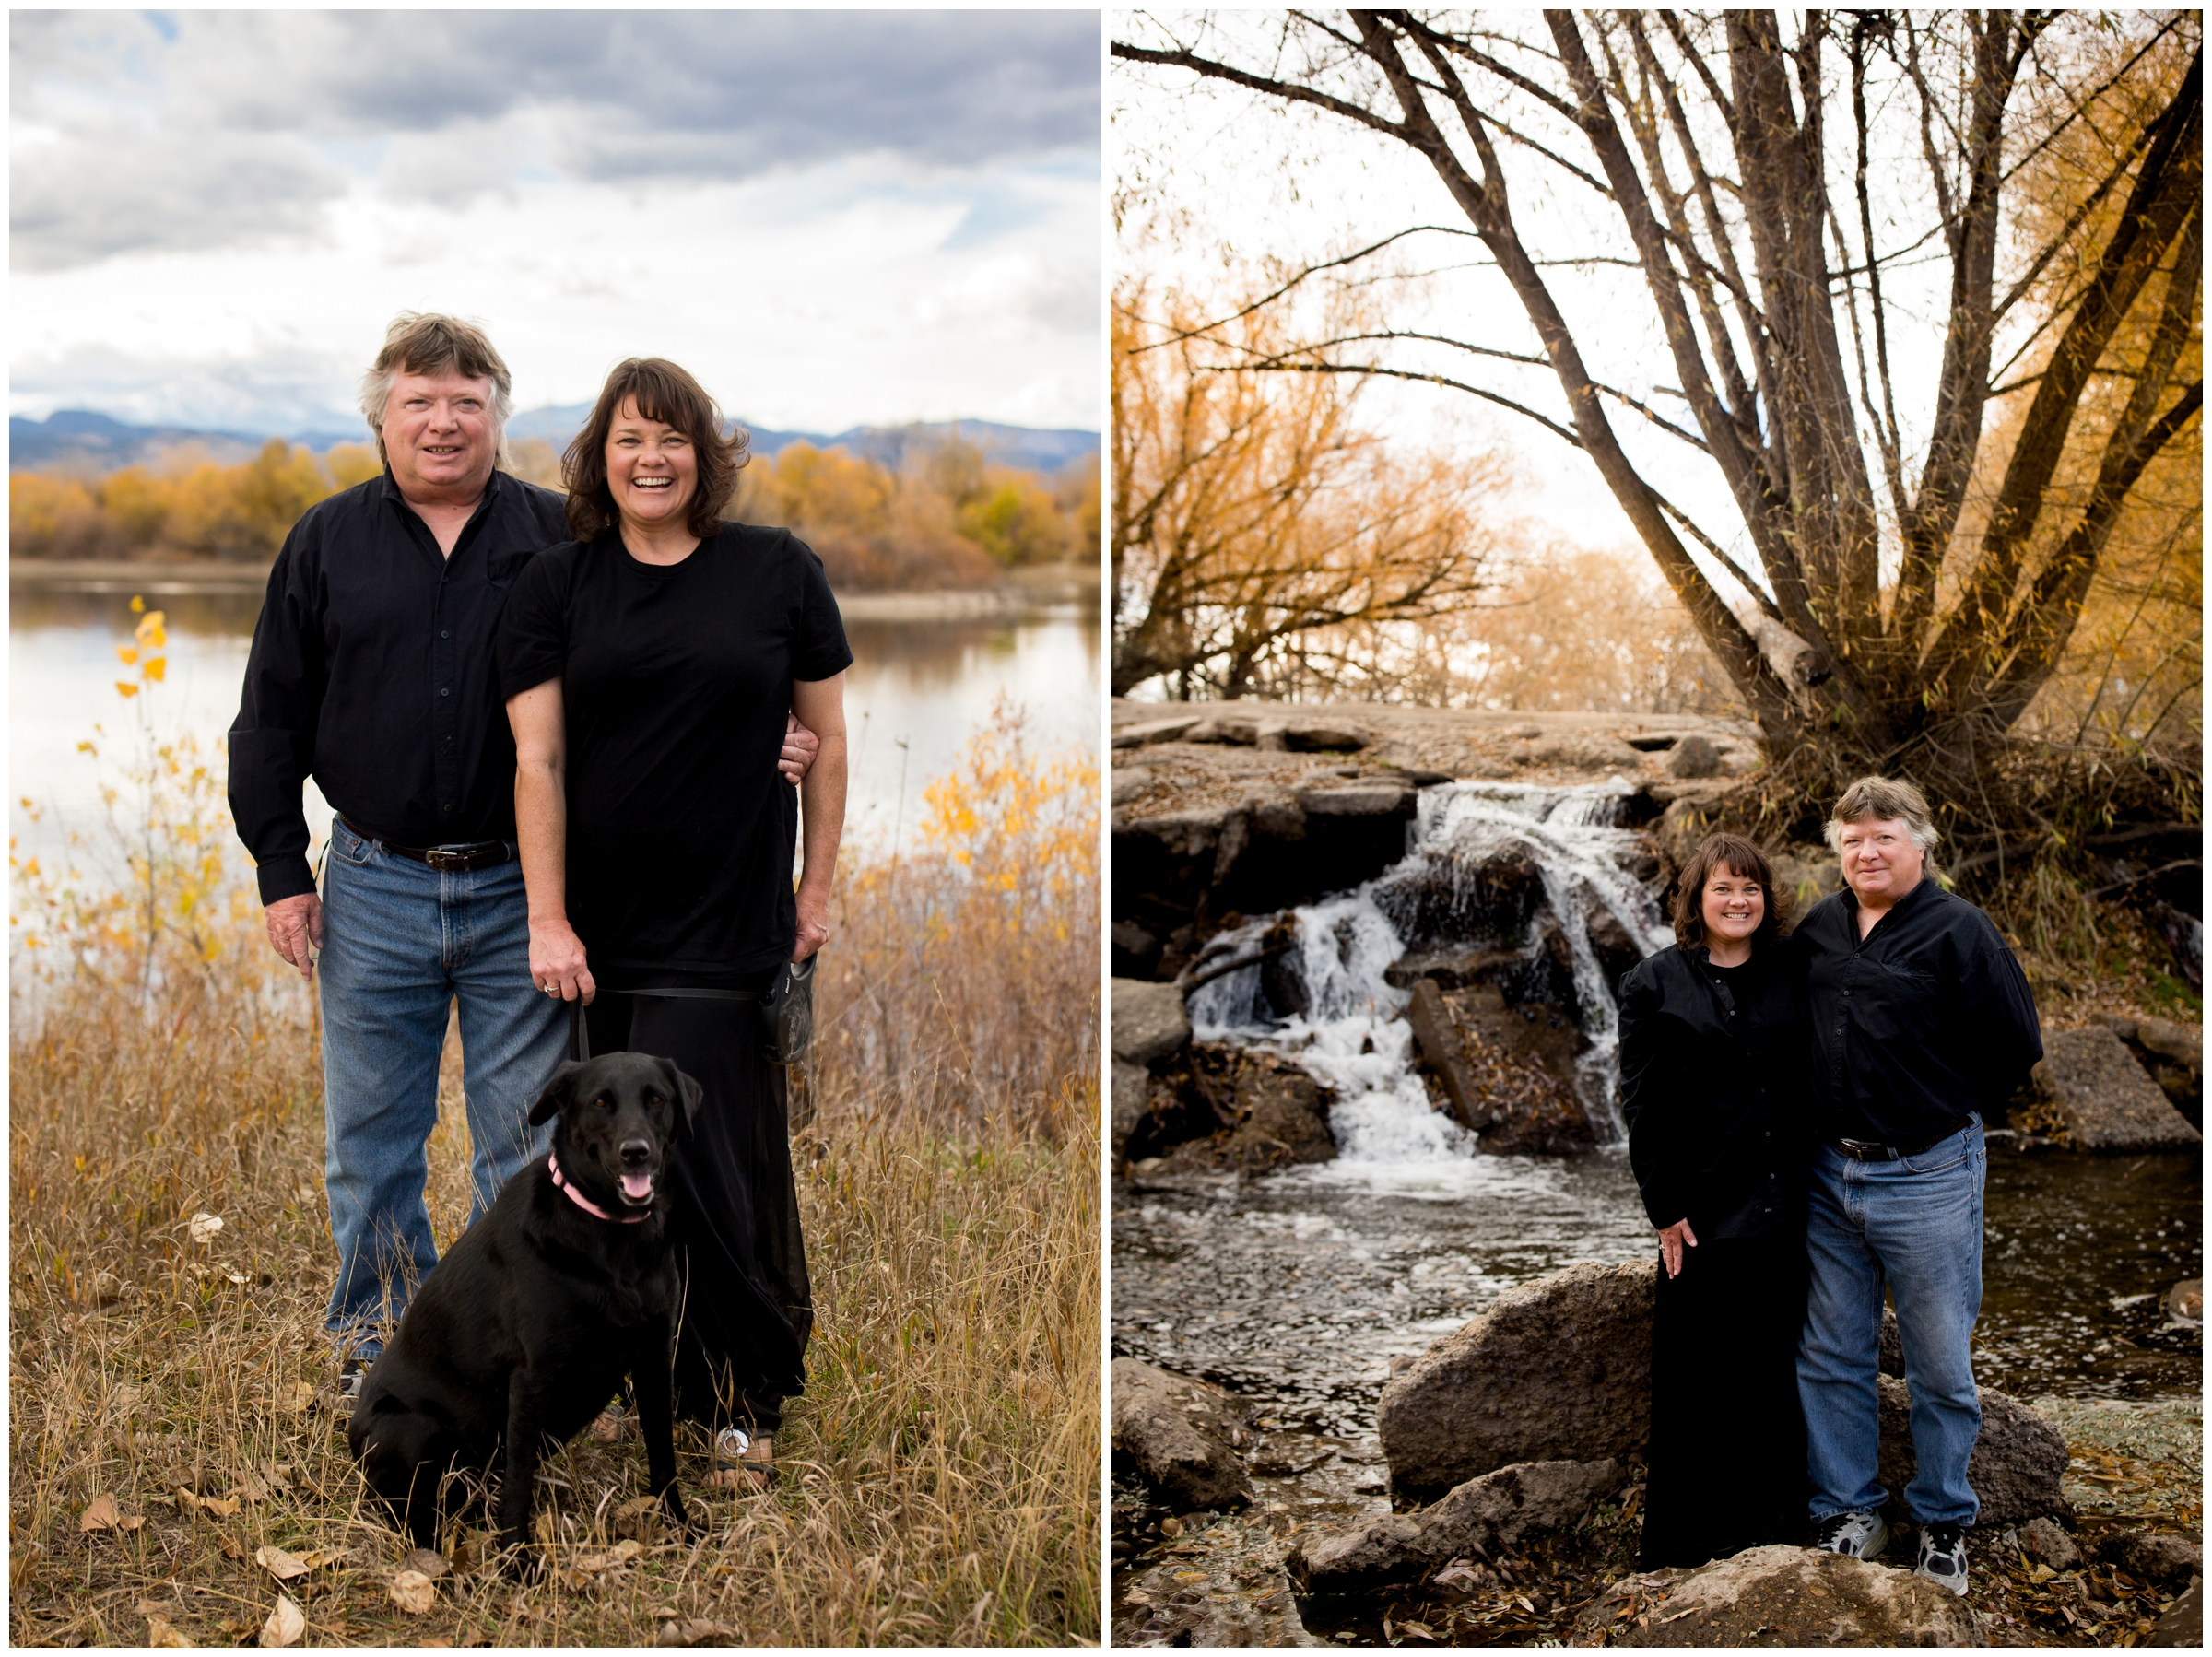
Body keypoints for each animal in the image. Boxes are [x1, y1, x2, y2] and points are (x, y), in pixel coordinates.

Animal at [347, 1052, 699, 1575]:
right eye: (600, 1103)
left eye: (656, 1099)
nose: (635, 1152)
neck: (611, 1238)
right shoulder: (532, 1377)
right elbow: (519, 1483)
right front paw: (517, 1562)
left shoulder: (655, 1358)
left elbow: (663, 1457)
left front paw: (680, 1527)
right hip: (410, 1429)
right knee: (411, 1512)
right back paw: (435, 1560)